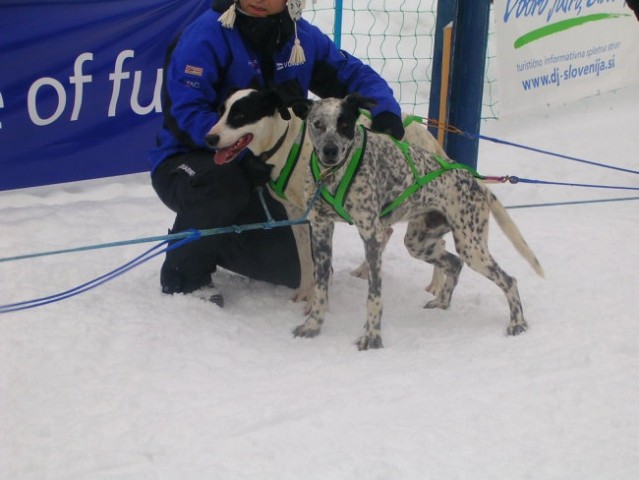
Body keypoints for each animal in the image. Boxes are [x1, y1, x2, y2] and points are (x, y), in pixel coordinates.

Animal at [208, 89, 448, 316]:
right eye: (221, 112)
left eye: (239, 115)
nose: (209, 138)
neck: (286, 143)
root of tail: (431, 139)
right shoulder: (296, 213)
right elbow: (305, 258)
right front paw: (306, 291)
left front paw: (316, 303)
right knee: (386, 233)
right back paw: (364, 269)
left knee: (441, 243)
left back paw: (436, 286)